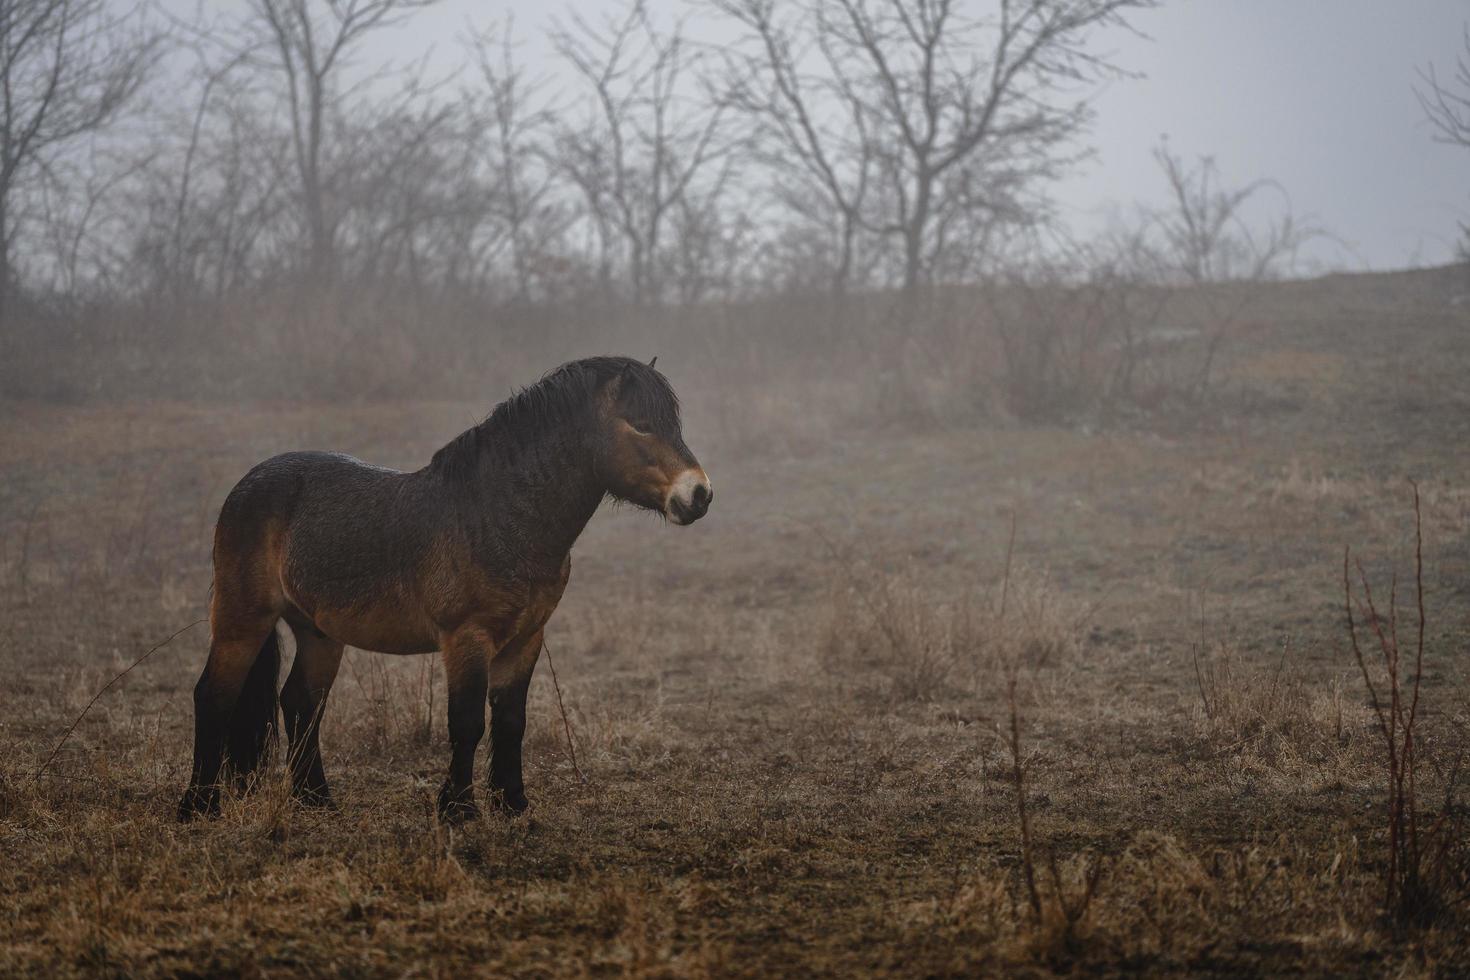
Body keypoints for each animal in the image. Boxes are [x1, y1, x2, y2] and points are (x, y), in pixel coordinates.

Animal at [174, 357, 714, 822]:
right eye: (640, 424)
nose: (699, 494)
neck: (498, 517)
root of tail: (249, 484)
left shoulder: (526, 639)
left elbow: (511, 721)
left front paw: (513, 804)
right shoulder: (466, 638)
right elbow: (467, 722)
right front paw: (458, 809)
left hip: (318, 632)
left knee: (301, 704)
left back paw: (317, 801)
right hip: (241, 620)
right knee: (214, 696)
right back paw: (199, 805)